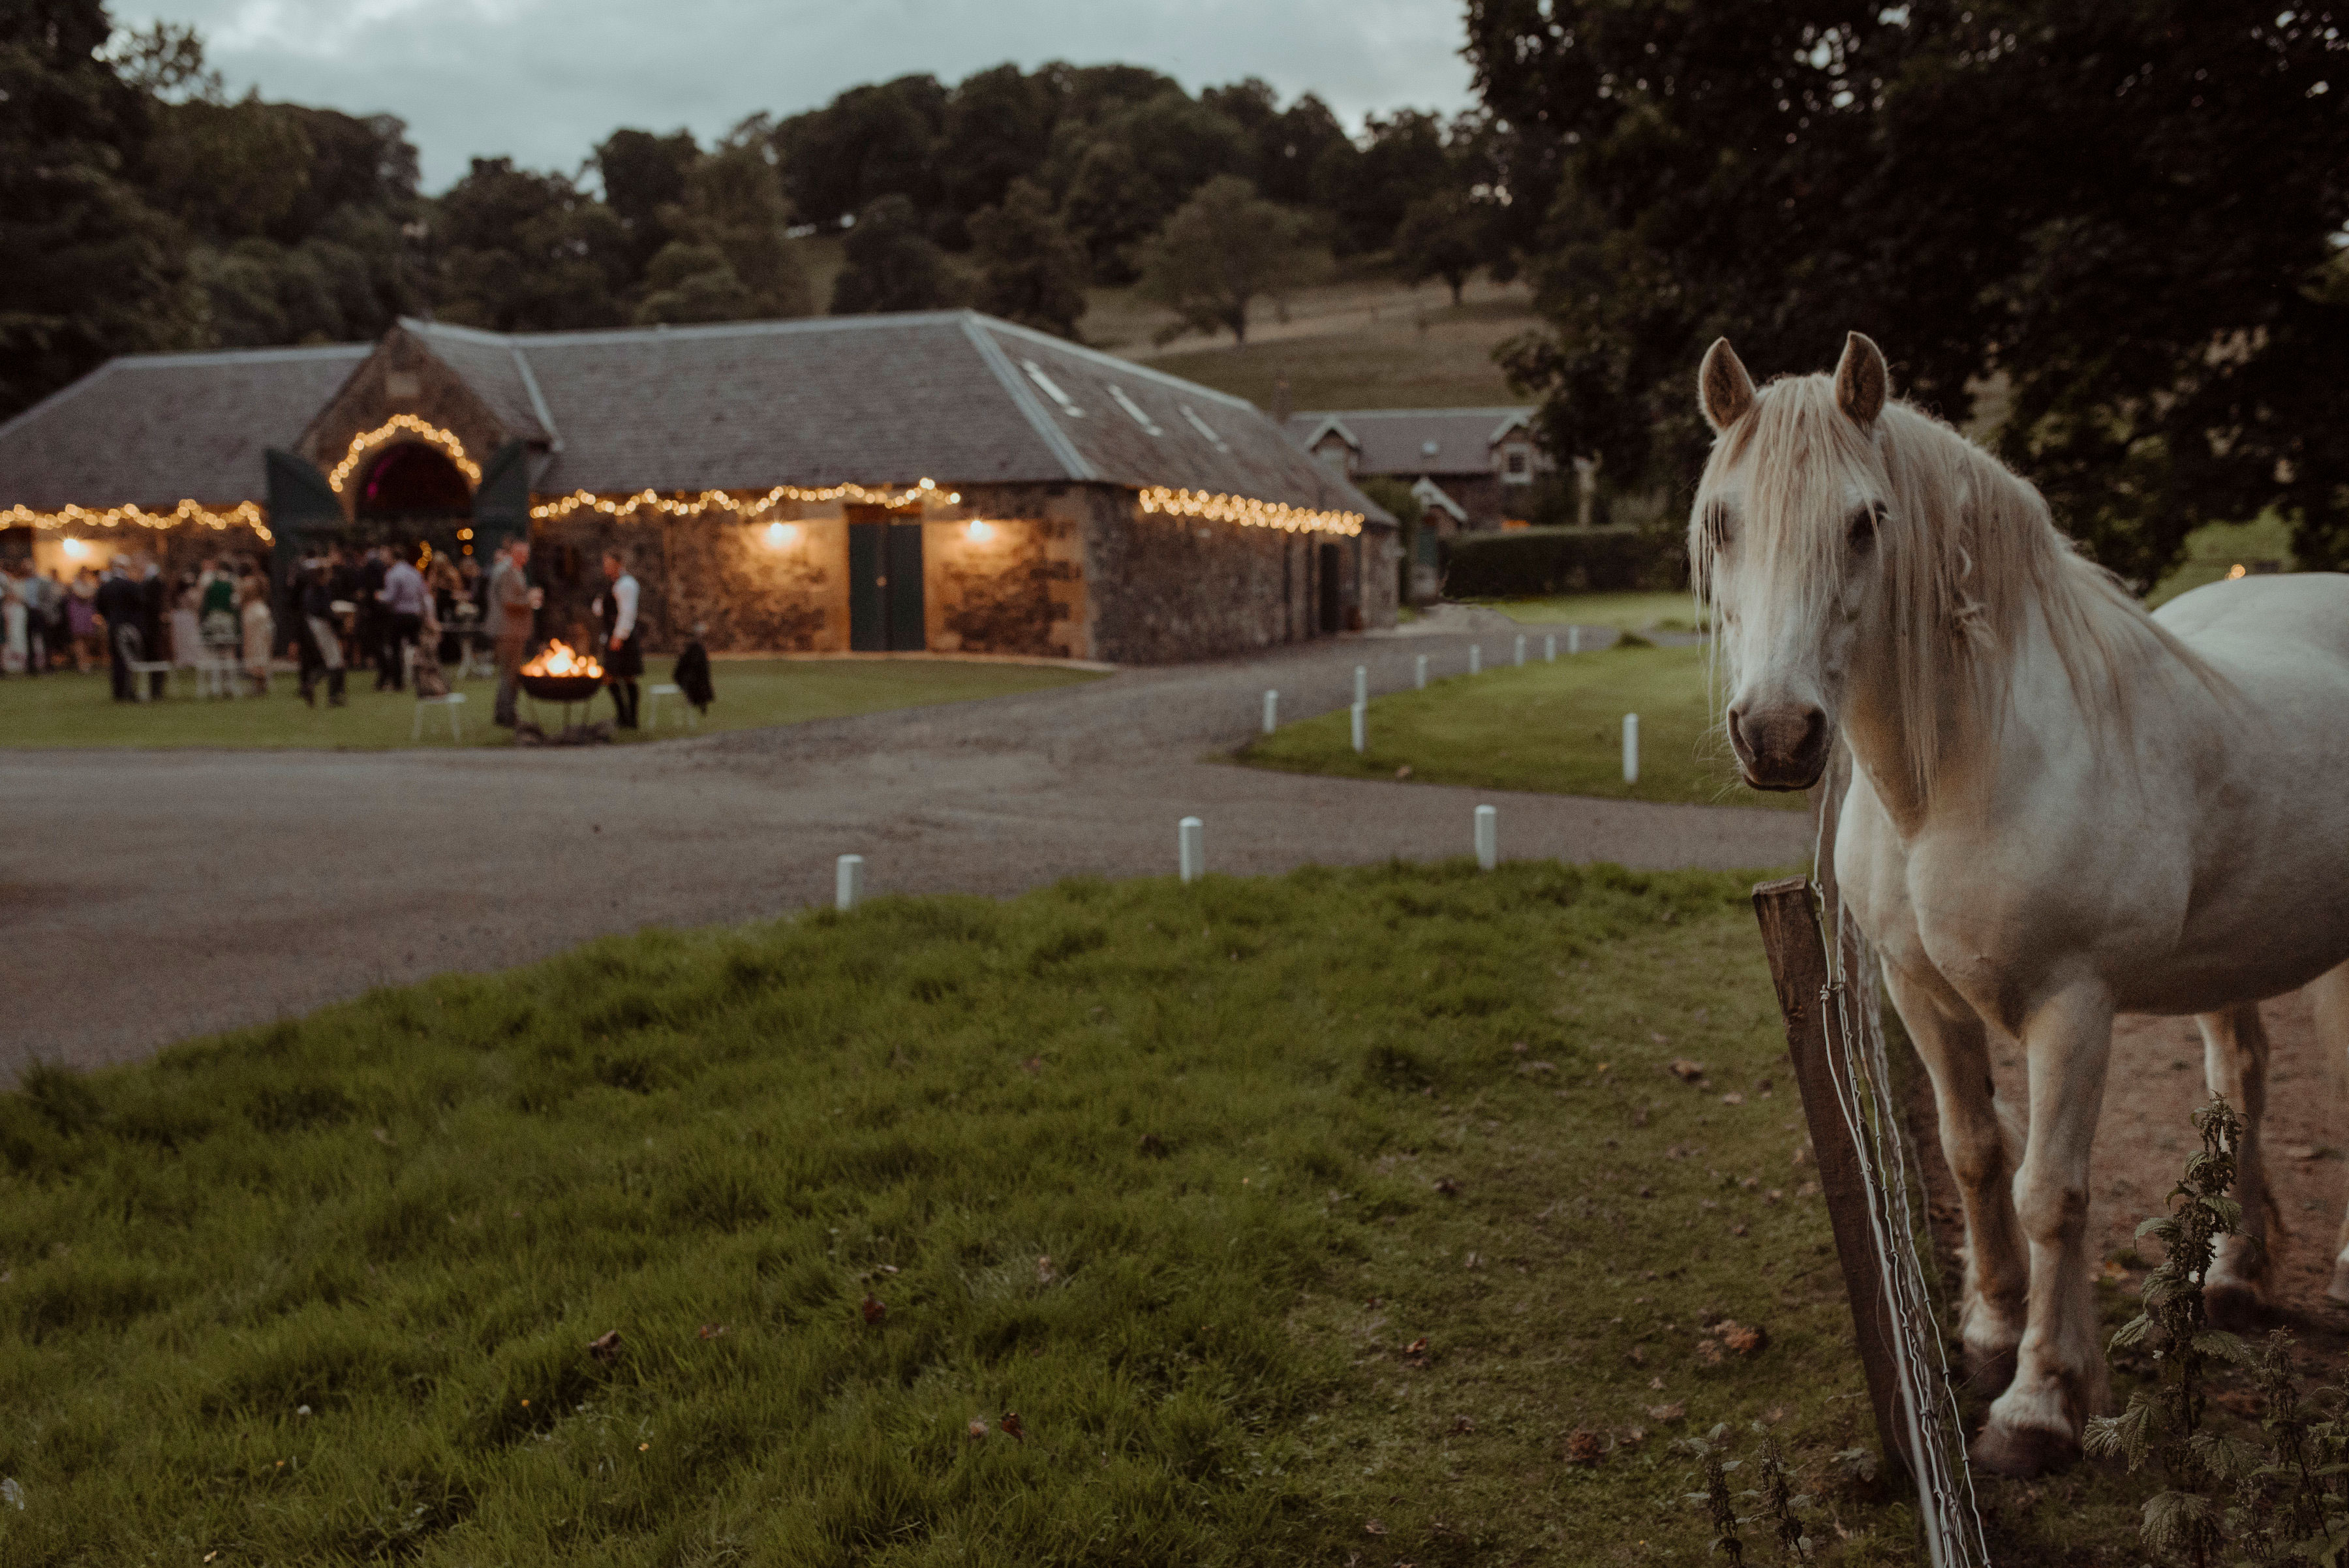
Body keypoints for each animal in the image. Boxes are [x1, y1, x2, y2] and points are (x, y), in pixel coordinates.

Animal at [1688, 331, 2349, 1478]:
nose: (1776, 734)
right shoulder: (1919, 992)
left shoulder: (2070, 1005)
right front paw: (1992, 1333)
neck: (1955, 776)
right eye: (1724, 521)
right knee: (2243, 1080)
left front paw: (2039, 1404)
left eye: (1865, 521)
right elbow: (1976, 1152)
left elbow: (2051, 1190)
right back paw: (2233, 1274)